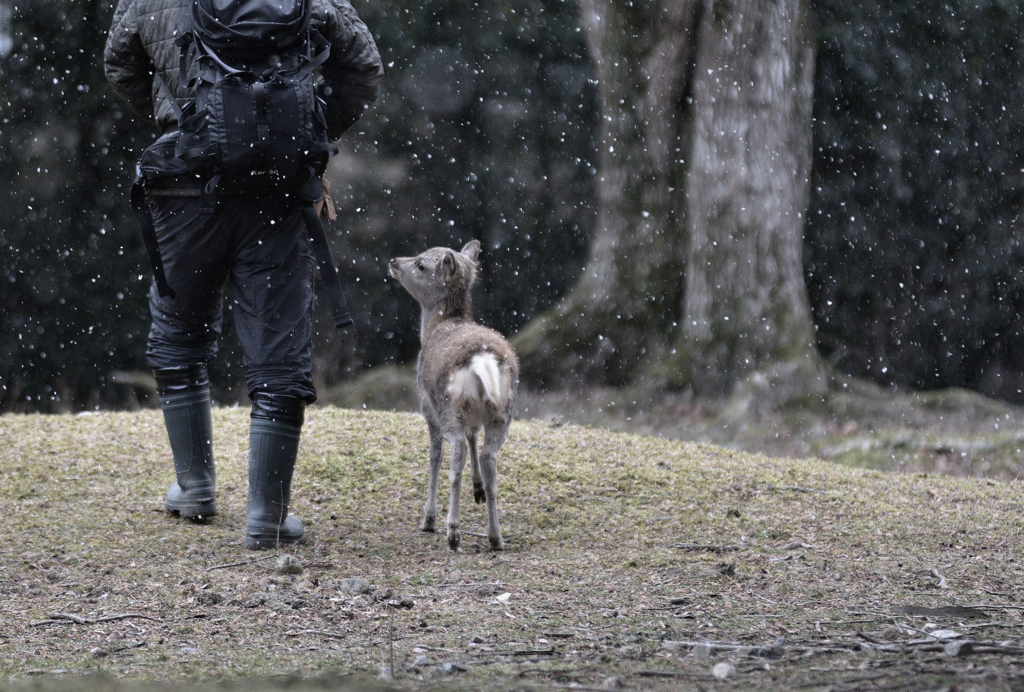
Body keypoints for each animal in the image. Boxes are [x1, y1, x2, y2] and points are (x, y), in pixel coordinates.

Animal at [389, 240, 524, 548]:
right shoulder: (473, 418)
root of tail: (482, 359)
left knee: (456, 456)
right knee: (489, 459)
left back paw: (452, 531)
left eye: (421, 264)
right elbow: (473, 436)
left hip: (447, 405)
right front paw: (477, 490)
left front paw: (428, 519)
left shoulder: (427, 406)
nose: (394, 261)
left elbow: (434, 456)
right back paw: (495, 536)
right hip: (503, 412)